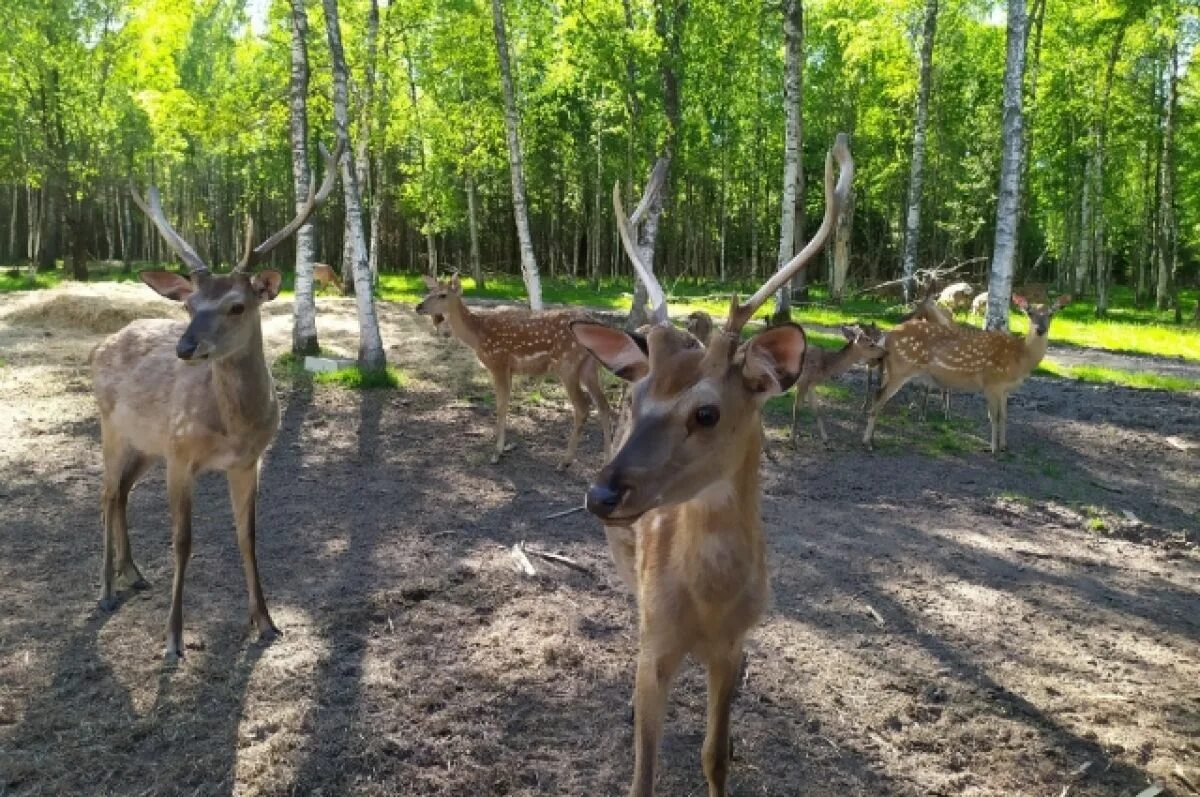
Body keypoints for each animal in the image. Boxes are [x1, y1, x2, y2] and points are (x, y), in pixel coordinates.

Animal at [90, 141, 338, 657]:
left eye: (237, 305)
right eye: (188, 304)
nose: (185, 348)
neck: (233, 429)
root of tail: (99, 346)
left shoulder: (247, 461)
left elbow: (248, 536)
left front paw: (265, 621)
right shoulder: (181, 455)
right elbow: (182, 541)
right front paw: (172, 638)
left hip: (147, 445)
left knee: (122, 492)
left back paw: (133, 574)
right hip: (112, 429)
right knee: (105, 493)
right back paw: (104, 591)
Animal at [417, 277, 614, 470]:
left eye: (442, 295)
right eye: (429, 291)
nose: (418, 306)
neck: (477, 336)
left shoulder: (498, 363)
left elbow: (501, 406)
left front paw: (497, 452)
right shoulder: (510, 369)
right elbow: (505, 403)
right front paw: (500, 445)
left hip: (567, 365)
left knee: (582, 406)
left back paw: (565, 461)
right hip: (589, 368)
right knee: (603, 405)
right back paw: (607, 460)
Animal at [568, 133, 854, 792]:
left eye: (706, 413)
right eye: (638, 399)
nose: (600, 495)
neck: (708, 606)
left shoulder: (732, 645)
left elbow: (714, 755)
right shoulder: (657, 646)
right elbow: (642, 774)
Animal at [864, 292, 1070, 453]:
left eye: (1051, 314)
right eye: (1029, 313)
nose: (1040, 329)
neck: (1020, 359)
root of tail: (887, 336)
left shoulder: (1005, 390)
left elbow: (1004, 416)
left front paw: (1004, 446)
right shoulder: (991, 383)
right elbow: (993, 417)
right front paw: (994, 449)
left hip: (891, 370)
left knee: (876, 394)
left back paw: (871, 439)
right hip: (901, 368)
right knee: (879, 397)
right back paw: (868, 442)